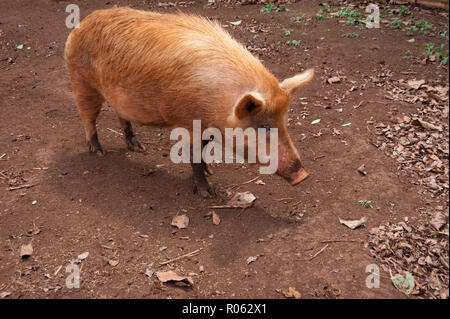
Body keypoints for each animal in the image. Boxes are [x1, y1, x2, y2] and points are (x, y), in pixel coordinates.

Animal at [64, 6, 312, 198]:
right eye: (264, 127)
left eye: (284, 122)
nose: (303, 175)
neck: (219, 105)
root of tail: (82, 23)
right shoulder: (187, 122)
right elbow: (194, 156)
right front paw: (207, 193)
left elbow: (204, 150)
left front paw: (211, 171)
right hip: (81, 82)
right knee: (88, 118)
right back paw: (98, 152)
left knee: (121, 116)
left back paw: (139, 148)